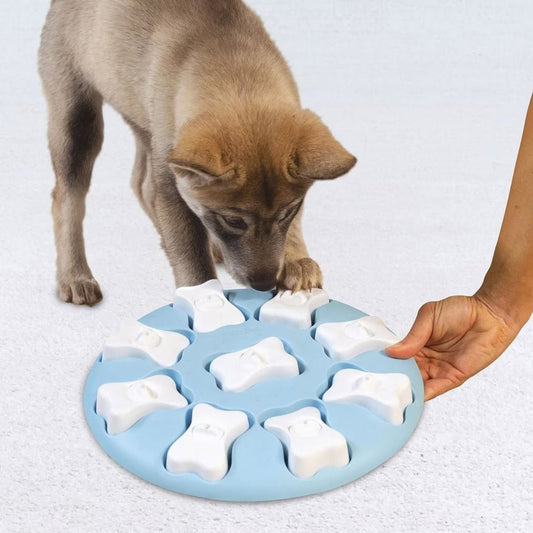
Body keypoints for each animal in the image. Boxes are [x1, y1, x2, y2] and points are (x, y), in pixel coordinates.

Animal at [37, 0, 354, 304]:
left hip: (141, 116)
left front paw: (296, 262)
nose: (264, 284)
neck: (235, 72)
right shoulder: (173, 182)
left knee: (142, 185)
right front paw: (204, 297)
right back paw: (75, 276)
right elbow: (191, 254)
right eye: (233, 221)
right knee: (67, 199)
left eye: (286, 213)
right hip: (77, 119)